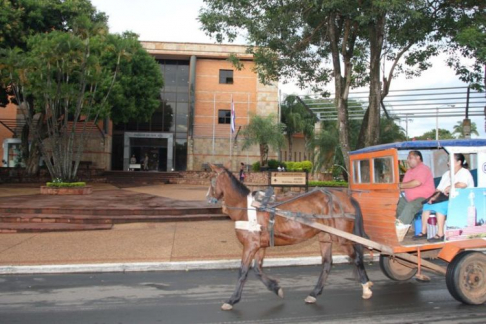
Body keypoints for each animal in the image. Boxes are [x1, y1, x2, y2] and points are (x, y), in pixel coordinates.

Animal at [208, 163, 372, 310]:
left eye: (212, 180)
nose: (208, 197)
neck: (248, 208)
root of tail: (346, 197)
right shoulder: (260, 245)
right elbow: (257, 269)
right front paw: (276, 288)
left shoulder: (250, 245)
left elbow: (243, 271)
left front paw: (232, 299)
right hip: (326, 236)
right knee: (327, 263)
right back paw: (314, 293)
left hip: (342, 238)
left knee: (356, 258)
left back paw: (366, 287)